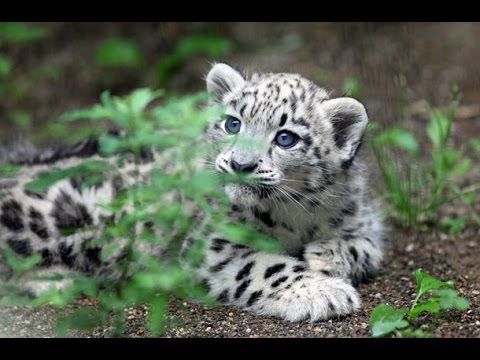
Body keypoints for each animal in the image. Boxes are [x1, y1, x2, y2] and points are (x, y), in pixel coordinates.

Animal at [0, 63, 382, 322]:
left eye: (286, 137)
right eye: (233, 123)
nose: (241, 163)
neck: (297, 215)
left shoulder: (362, 217)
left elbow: (368, 245)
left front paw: (325, 255)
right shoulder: (214, 244)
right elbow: (265, 267)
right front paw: (325, 291)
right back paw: (56, 281)